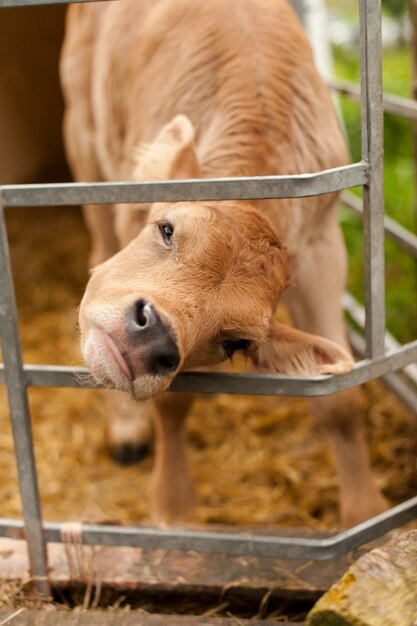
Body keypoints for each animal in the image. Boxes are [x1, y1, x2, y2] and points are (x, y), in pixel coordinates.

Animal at [60, 0, 386, 524]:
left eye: (235, 343)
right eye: (166, 228)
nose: (151, 338)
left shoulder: (322, 248)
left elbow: (342, 400)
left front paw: (366, 514)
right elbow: (173, 405)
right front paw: (172, 506)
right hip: (83, 136)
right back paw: (128, 429)